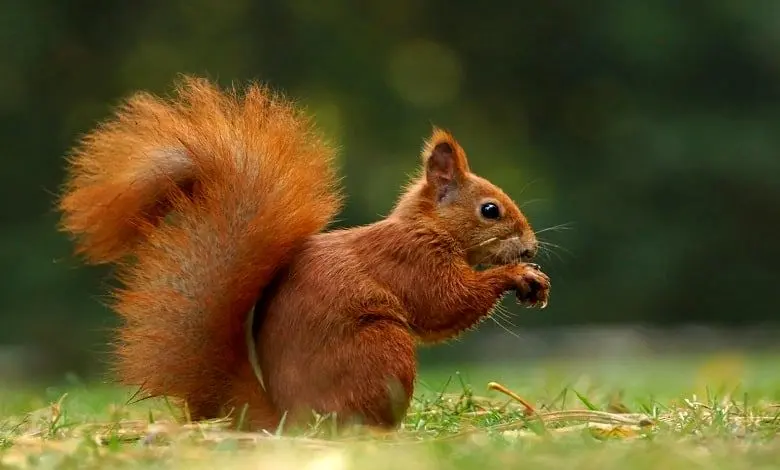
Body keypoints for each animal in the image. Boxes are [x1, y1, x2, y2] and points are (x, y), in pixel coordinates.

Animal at [58, 75, 552, 432]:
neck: (427, 227)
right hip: (382, 350)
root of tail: (287, 420)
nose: (530, 246)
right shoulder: (411, 260)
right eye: (490, 210)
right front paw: (519, 275)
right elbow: (444, 304)